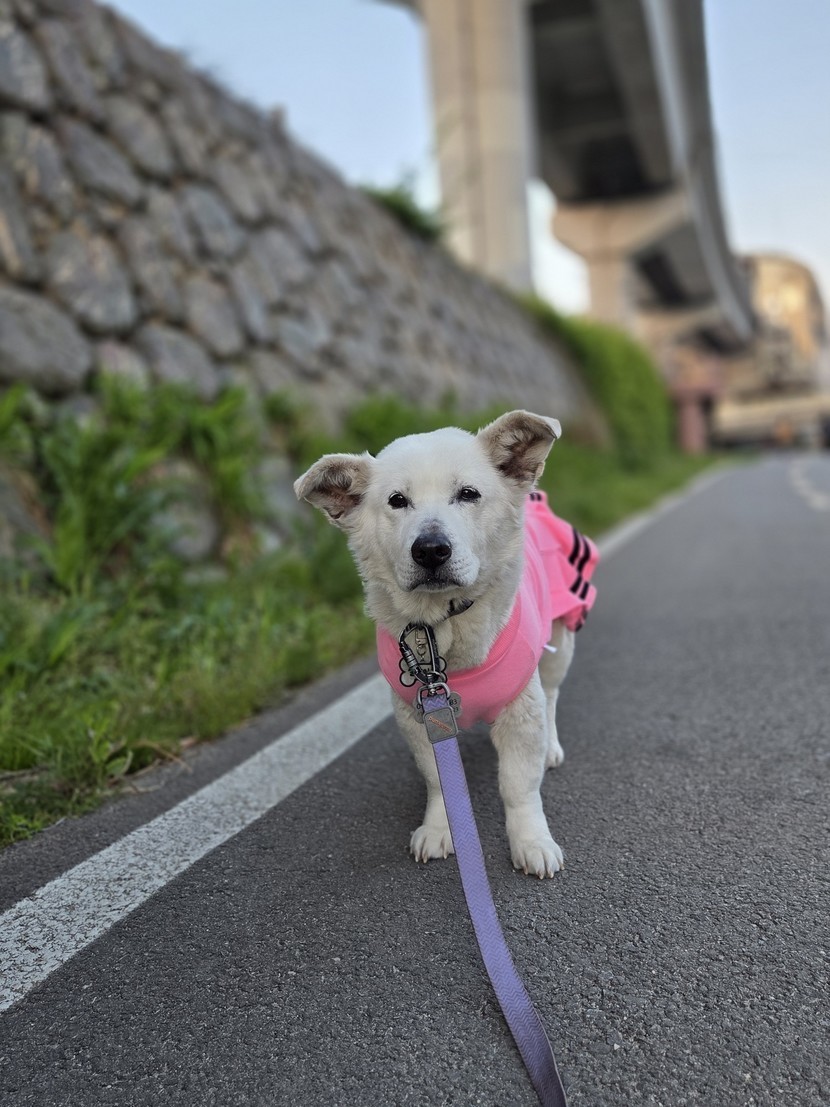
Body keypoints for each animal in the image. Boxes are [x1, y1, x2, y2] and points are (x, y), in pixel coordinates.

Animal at [294, 410, 597, 878]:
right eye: (397, 500)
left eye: (468, 494)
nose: (431, 549)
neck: (446, 629)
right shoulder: (418, 716)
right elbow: (438, 781)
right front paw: (440, 829)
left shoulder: (520, 712)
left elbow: (519, 787)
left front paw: (531, 840)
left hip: (560, 642)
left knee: (552, 695)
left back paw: (552, 746)